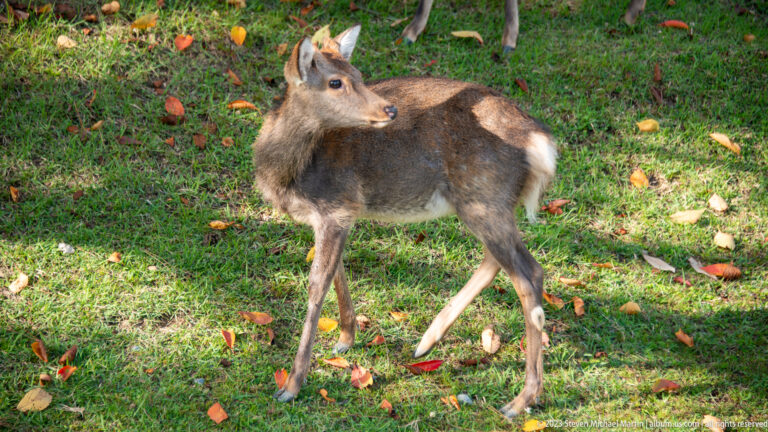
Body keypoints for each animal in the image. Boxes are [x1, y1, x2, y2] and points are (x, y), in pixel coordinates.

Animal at [253, 24, 557, 418]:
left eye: (359, 75)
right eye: (336, 81)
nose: (389, 108)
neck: (287, 174)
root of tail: (541, 144)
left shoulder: (335, 206)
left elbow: (317, 285)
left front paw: (291, 386)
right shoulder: (339, 213)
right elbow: (338, 273)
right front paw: (346, 338)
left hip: (484, 197)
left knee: (528, 274)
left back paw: (520, 401)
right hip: (491, 204)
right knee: (500, 261)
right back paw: (426, 342)